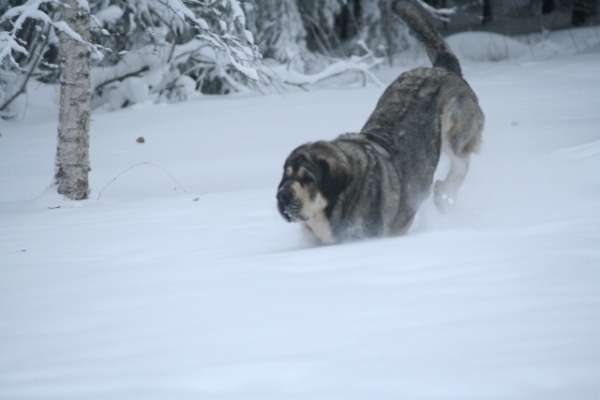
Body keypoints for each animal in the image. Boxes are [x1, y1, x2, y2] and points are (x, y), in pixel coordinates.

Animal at [276, 0, 482, 244]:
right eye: (286, 176)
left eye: (308, 178)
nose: (282, 195)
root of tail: (441, 69)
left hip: (455, 129)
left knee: (461, 162)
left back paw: (444, 196)